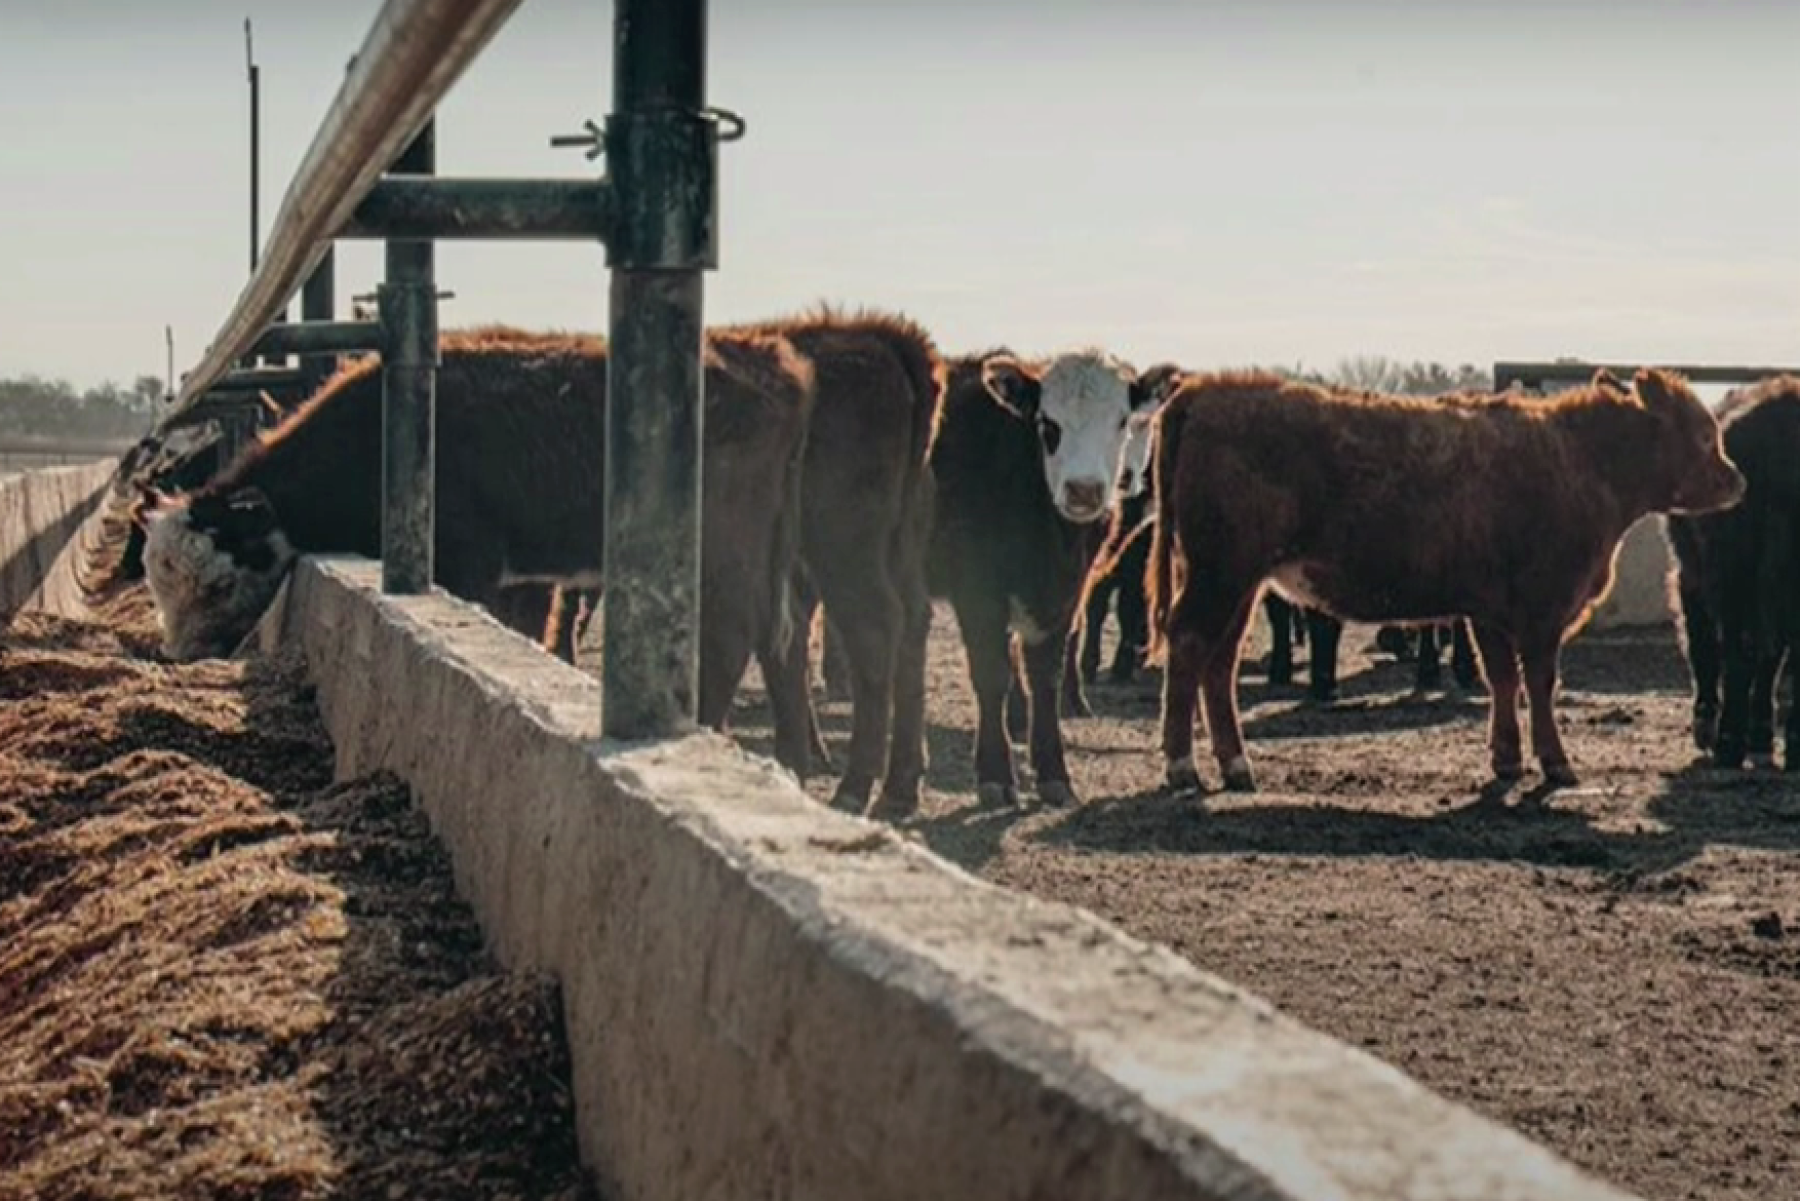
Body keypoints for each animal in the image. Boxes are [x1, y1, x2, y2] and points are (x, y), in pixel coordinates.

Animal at [130, 324, 820, 767]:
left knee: (735, 636)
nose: (179, 656)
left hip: (726, 550)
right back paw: (795, 755)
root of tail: (771, 362)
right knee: (778, 643)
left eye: (220, 583)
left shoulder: (472, 566)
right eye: (158, 584)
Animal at [1144, 367, 1749, 799]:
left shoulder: (1491, 610)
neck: (1577, 462)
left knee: (1219, 663)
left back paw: (1236, 766)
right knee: (1190, 646)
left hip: (1238, 583)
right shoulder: (1541, 609)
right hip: (1219, 575)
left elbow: (1502, 679)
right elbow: (1539, 683)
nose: (1737, 479)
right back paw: (1182, 766)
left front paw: (1507, 758)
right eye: (1704, 434)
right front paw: (1555, 762)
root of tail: (1206, 389)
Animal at [1656, 376, 1800, 770]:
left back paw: (1727, 744)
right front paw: (1762, 737)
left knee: (1738, 648)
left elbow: (1703, 645)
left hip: (1733, 575)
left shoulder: (1690, 578)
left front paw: (1707, 726)